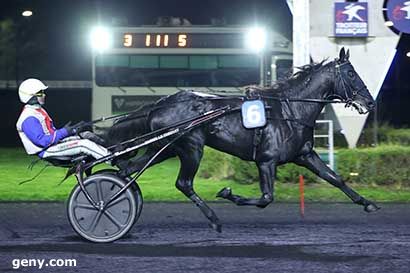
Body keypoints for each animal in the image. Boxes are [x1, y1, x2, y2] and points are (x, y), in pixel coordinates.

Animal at [107, 47, 380, 231]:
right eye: (351, 74)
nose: (370, 102)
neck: (290, 109)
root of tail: (158, 104)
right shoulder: (266, 161)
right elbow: (266, 198)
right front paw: (229, 193)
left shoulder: (304, 155)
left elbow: (334, 178)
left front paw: (367, 203)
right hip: (190, 148)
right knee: (183, 183)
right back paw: (214, 220)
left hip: (167, 148)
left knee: (129, 169)